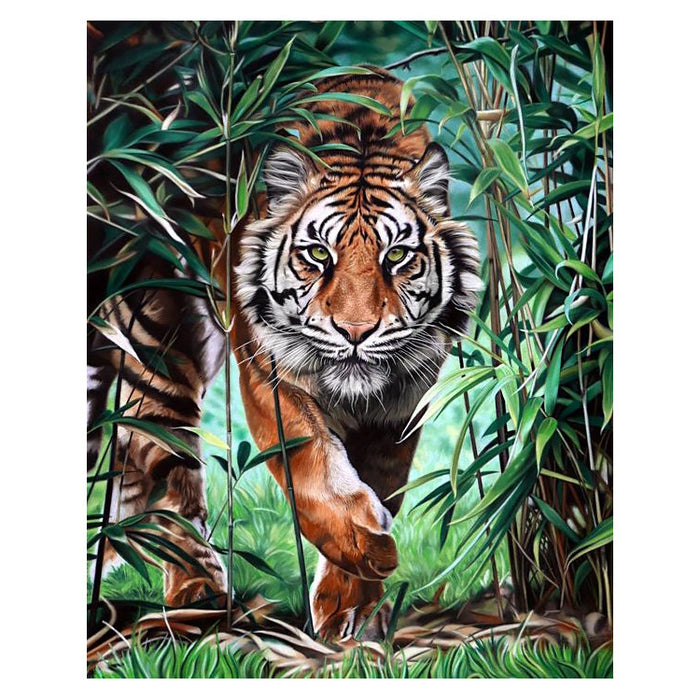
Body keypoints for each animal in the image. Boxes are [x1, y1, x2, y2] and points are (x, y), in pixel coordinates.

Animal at [87, 66, 481, 639]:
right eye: (317, 254)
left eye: (397, 256)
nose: (356, 331)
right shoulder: (271, 380)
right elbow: (312, 469)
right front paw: (370, 549)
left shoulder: (402, 404)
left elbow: (382, 482)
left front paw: (351, 607)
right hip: (158, 347)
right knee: (166, 471)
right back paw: (199, 598)